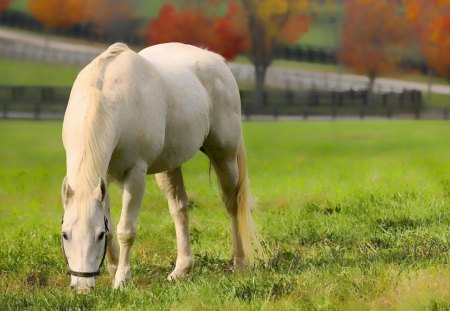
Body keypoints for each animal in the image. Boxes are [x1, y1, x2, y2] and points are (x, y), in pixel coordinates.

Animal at [61, 42, 262, 292]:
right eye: (65, 235)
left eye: (98, 236)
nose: (82, 286)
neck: (108, 96)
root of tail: (217, 60)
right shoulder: (102, 178)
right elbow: (111, 223)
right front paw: (113, 269)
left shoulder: (135, 175)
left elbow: (125, 230)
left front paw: (122, 280)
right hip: (170, 166)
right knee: (180, 209)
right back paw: (181, 270)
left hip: (224, 156)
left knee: (233, 204)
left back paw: (239, 263)